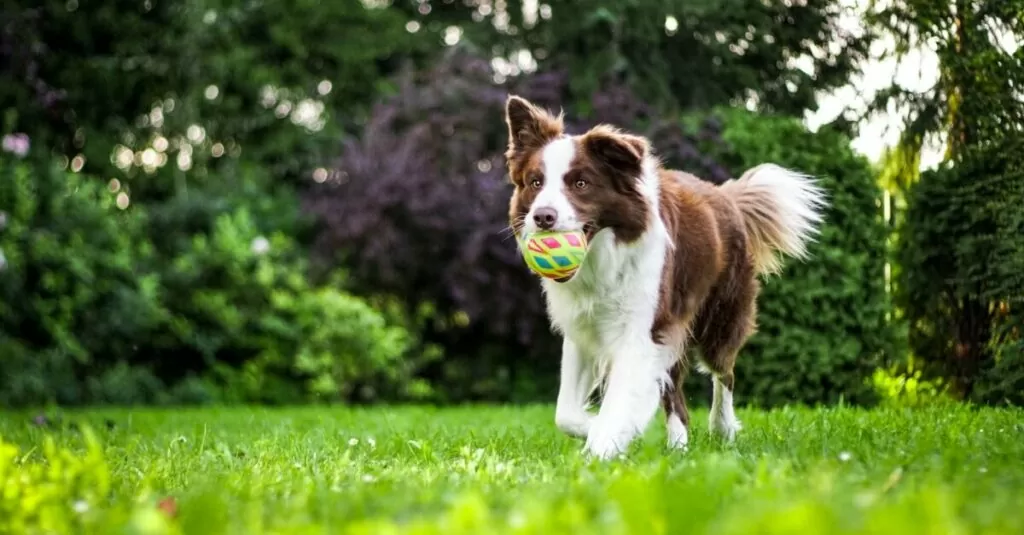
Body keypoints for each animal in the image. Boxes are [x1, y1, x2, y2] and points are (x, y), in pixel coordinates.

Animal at [503, 93, 831, 455]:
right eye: (535, 182)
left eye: (581, 183)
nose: (542, 217)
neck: (602, 260)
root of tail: (726, 195)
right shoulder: (583, 328)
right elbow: (565, 413)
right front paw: (602, 430)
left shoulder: (642, 329)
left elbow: (620, 398)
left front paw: (604, 443)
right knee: (676, 395)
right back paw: (678, 447)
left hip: (719, 318)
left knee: (724, 373)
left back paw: (722, 428)